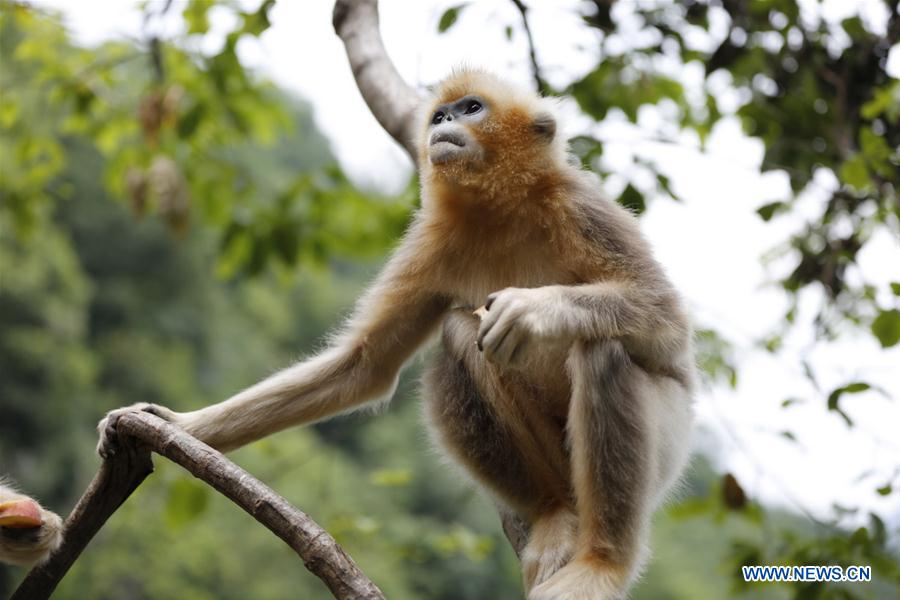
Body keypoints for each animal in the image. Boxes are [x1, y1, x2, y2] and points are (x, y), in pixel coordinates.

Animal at [98, 69, 694, 599]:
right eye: (440, 114)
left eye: (471, 108)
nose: (445, 122)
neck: (501, 209)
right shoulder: (431, 241)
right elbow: (364, 364)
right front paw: (174, 423)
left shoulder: (581, 206)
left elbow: (667, 324)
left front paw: (533, 309)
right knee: (461, 333)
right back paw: (552, 511)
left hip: (667, 447)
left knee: (602, 349)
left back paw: (602, 565)